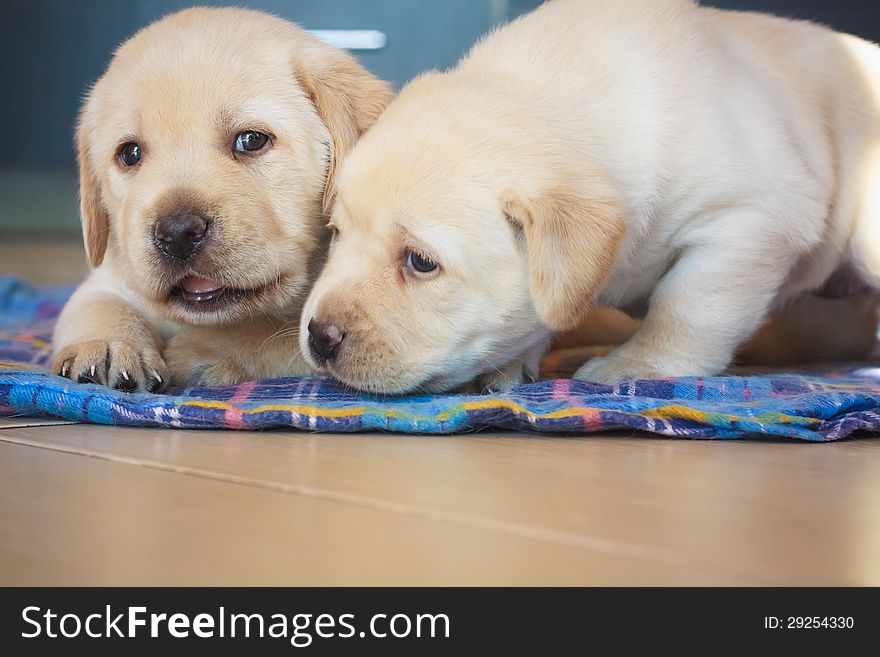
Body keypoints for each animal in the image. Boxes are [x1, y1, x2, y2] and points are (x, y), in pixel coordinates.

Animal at [50, 6, 388, 390]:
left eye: (251, 140)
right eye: (130, 153)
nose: (178, 233)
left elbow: (275, 333)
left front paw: (201, 349)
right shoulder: (111, 275)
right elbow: (97, 304)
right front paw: (109, 343)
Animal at [300, 0, 880, 392]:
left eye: (420, 262)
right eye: (336, 234)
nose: (319, 337)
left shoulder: (748, 220)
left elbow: (688, 306)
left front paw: (640, 365)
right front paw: (514, 364)